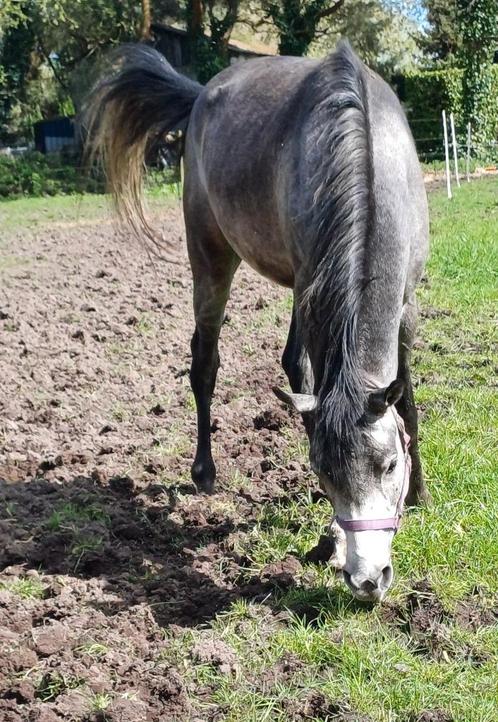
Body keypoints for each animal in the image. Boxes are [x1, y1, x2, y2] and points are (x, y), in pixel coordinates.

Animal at [85, 40, 428, 600]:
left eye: (389, 465)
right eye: (322, 470)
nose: (367, 579)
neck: (369, 160)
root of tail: (202, 94)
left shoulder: (405, 305)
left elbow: (409, 404)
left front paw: (419, 493)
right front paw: (333, 536)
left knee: (292, 365)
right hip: (211, 259)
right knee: (205, 362)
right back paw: (204, 472)